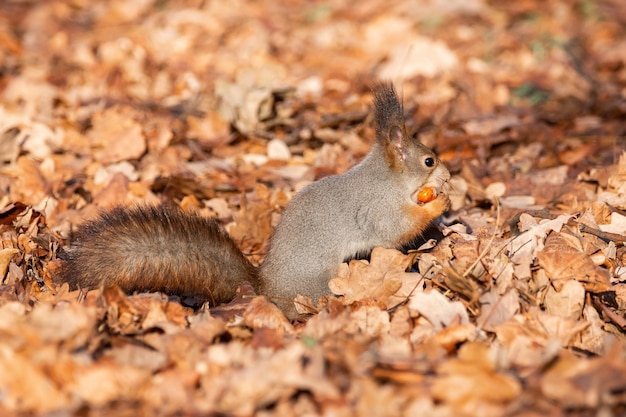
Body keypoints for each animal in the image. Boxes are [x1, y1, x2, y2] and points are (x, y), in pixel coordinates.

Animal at [58, 81, 448, 316]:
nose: (448, 175)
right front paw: (439, 203)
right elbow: (396, 229)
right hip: (321, 282)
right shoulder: (377, 209)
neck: (385, 179)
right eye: (429, 160)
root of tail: (266, 287)